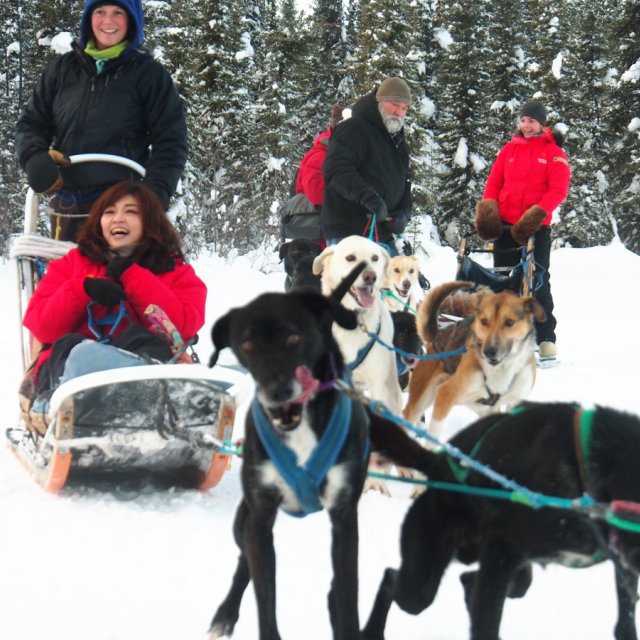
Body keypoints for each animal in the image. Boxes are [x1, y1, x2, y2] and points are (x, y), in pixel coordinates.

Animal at [208, 262, 432, 636]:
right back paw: (225, 614)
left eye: (294, 337)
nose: (278, 391)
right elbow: (264, 594)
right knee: (243, 560)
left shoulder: (344, 519)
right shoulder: (260, 514)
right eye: (248, 344)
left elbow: (346, 590)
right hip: (246, 519)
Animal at [362, 400, 640, 640]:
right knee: (393, 579)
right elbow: (486, 624)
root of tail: (438, 461)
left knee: (484, 582)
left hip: (484, 558)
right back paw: (372, 631)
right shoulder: (501, 549)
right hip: (423, 576)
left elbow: (625, 623)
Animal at [404, 282, 544, 442]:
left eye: (509, 322)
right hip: (421, 400)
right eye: (484, 321)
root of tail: (438, 333)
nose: (489, 351)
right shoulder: (446, 394)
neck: (501, 370)